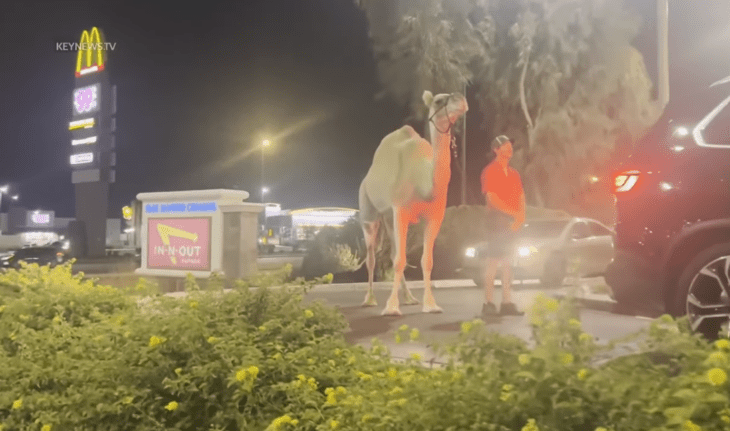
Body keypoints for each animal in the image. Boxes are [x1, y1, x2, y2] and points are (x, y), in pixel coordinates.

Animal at [356, 89, 466, 316]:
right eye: (438, 101)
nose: (461, 99)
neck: (424, 186)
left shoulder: (434, 217)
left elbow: (426, 261)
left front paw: (431, 305)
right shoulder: (401, 210)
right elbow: (400, 260)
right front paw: (391, 308)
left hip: (388, 218)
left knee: (391, 253)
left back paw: (409, 297)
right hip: (369, 212)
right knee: (371, 256)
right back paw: (369, 299)